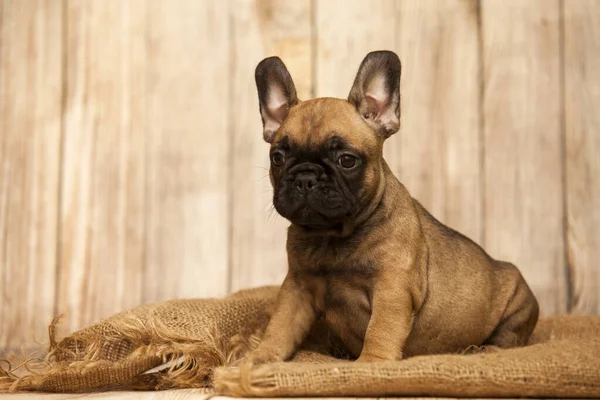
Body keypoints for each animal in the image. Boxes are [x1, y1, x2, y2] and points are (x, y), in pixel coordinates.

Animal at [244, 50, 540, 362]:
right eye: (277, 158)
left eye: (346, 160)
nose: (305, 177)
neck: (332, 235)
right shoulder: (297, 288)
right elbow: (280, 326)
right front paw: (259, 358)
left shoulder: (392, 289)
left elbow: (380, 329)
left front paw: (372, 363)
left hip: (518, 301)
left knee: (509, 337)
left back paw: (481, 349)